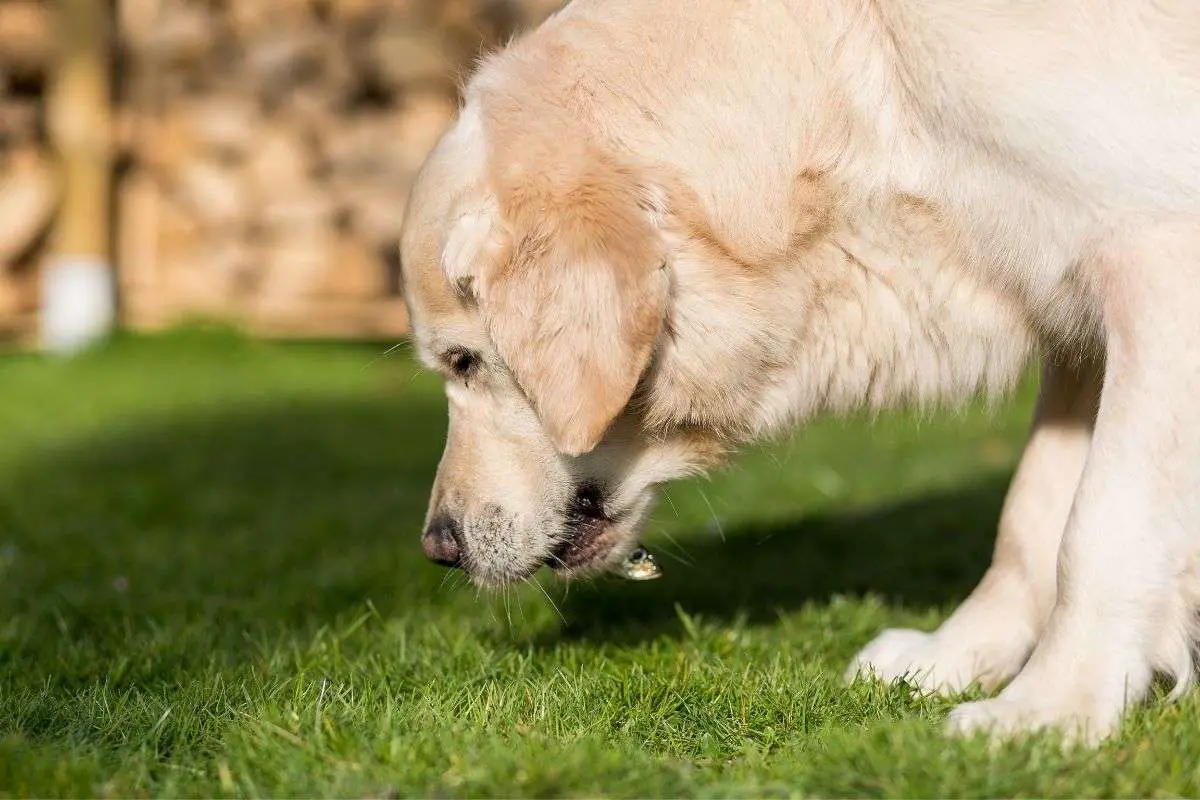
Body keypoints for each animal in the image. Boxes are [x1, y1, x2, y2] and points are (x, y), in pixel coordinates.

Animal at [400, 0, 1200, 743]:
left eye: (463, 361)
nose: (438, 548)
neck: (859, 74)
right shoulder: (1072, 303)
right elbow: (1033, 512)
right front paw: (957, 656)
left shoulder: (1157, 262)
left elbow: (1102, 520)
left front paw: (1053, 708)